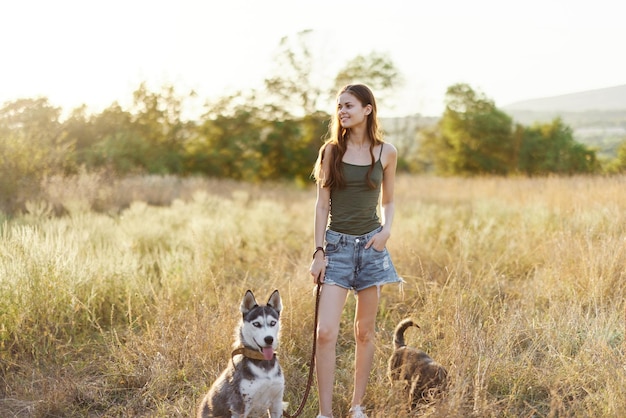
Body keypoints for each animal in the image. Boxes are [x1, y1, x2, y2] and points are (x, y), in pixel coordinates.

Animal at [196, 290, 284, 418]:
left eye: (273, 323)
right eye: (256, 324)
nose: (269, 339)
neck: (263, 365)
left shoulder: (277, 402)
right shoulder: (240, 407)